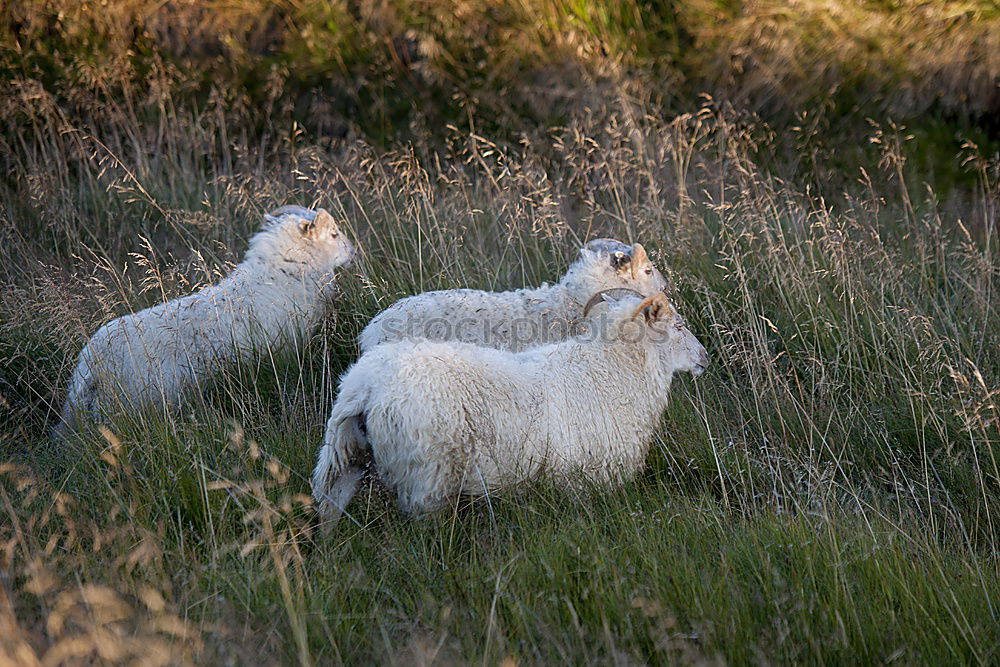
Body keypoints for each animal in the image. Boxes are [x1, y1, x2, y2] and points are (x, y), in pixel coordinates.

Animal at [308, 288, 708, 520]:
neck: (609, 370)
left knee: (329, 513)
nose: (705, 357)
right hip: (425, 480)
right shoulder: (586, 483)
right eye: (678, 326)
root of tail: (366, 385)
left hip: (340, 461)